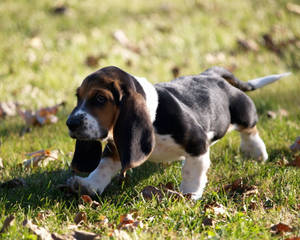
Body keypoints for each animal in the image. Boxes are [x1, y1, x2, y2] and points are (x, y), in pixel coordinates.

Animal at [66, 65, 290, 199]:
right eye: (78, 96)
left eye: (100, 99)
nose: (70, 123)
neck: (153, 115)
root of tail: (210, 74)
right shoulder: (117, 146)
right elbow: (103, 166)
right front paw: (89, 185)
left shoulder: (197, 144)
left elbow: (192, 171)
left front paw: (189, 194)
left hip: (242, 112)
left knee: (249, 129)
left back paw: (256, 151)